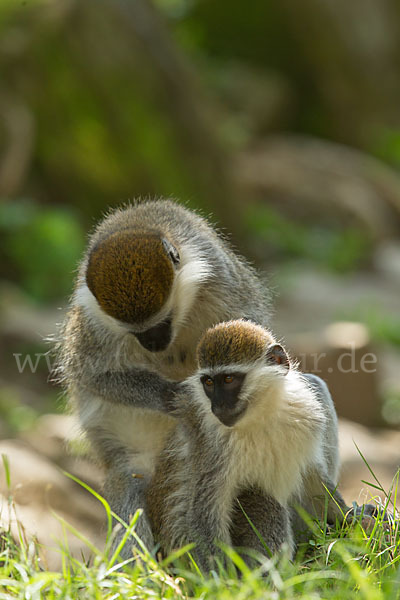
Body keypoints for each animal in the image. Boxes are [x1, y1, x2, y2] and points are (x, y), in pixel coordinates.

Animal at [55, 199, 268, 556]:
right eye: (136, 332)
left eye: (162, 322)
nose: (153, 344)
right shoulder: (93, 322)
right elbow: (91, 375)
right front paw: (171, 396)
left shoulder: (222, 279)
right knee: (128, 483)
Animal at [146, 322, 334, 568]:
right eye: (208, 382)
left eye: (228, 379)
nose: (218, 406)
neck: (260, 415)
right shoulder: (211, 447)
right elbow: (202, 513)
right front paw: (222, 577)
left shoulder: (307, 416)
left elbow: (313, 476)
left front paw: (351, 515)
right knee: (262, 497)